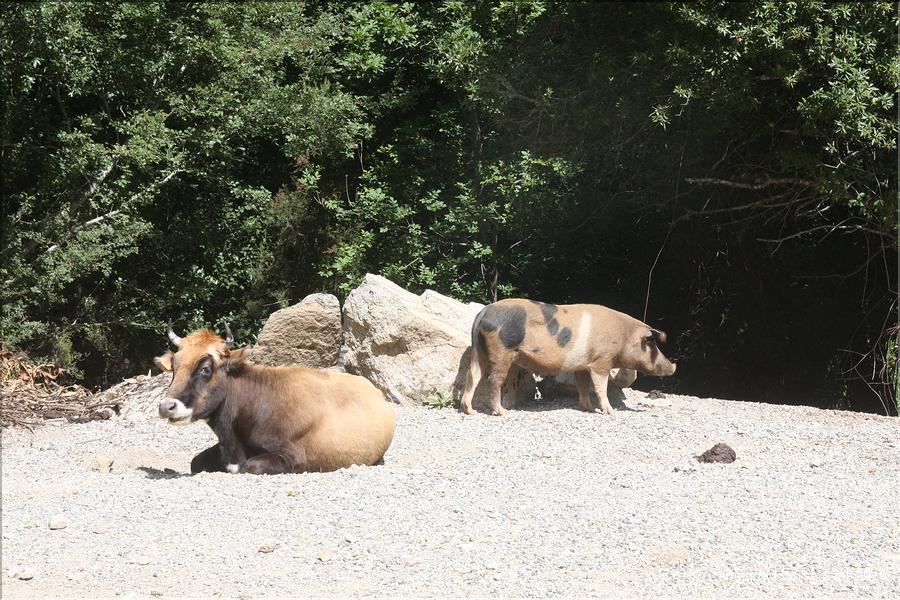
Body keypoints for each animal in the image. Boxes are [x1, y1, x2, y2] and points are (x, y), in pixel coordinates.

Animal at [154, 323, 396, 474]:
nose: (166, 406)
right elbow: (196, 462)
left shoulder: (294, 457)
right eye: (174, 366)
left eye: (205, 368)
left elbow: (250, 466)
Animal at [459, 299, 676, 416]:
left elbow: (583, 386)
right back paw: (502, 412)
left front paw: (588, 409)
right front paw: (610, 412)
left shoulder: (582, 366)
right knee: (493, 380)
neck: (623, 335)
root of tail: (483, 313)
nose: (673, 366)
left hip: (479, 350)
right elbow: (600, 387)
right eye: (653, 345)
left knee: (473, 376)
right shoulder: (601, 361)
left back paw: (471, 411)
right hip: (502, 351)